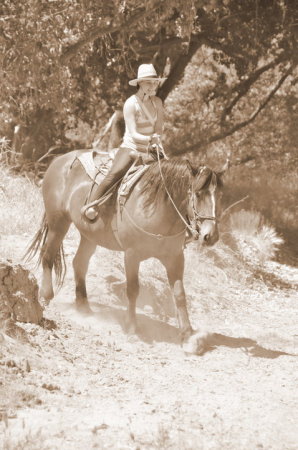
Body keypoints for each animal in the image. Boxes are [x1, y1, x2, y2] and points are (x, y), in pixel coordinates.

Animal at [25, 151, 225, 356]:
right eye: (198, 194)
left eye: (219, 195)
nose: (211, 236)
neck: (155, 208)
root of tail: (59, 160)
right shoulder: (132, 254)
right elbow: (133, 290)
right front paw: (131, 329)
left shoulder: (175, 258)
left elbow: (179, 294)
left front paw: (188, 336)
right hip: (58, 222)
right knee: (48, 254)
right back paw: (45, 296)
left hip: (89, 236)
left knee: (79, 263)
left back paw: (83, 307)